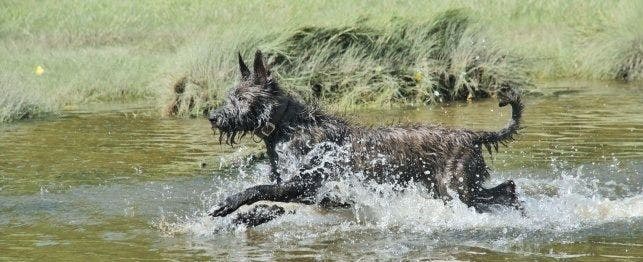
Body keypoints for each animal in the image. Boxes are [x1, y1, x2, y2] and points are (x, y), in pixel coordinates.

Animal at [206, 50, 524, 225]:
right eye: (229, 96)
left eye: (240, 98)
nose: (213, 116)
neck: (287, 126)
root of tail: (473, 135)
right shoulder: (313, 195)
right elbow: (270, 204)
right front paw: (245, 219)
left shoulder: (307, 183)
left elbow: (259, 190)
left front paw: (230, 203)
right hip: (455, 188)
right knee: (506, 189)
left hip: (454, 190)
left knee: (496, 195)